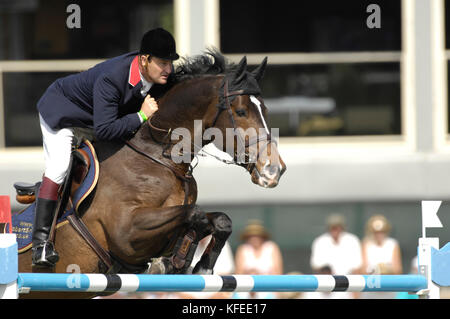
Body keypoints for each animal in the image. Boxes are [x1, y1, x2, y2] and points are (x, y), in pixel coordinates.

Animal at [17, 49, 286, 298]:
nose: (274, 170)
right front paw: (172, 261)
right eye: (241, 112)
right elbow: (195, 215)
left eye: (266, 110)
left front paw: (200, 266)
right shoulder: (126, 232)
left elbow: (220, 220)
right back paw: (43, 251)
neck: (158, 155)